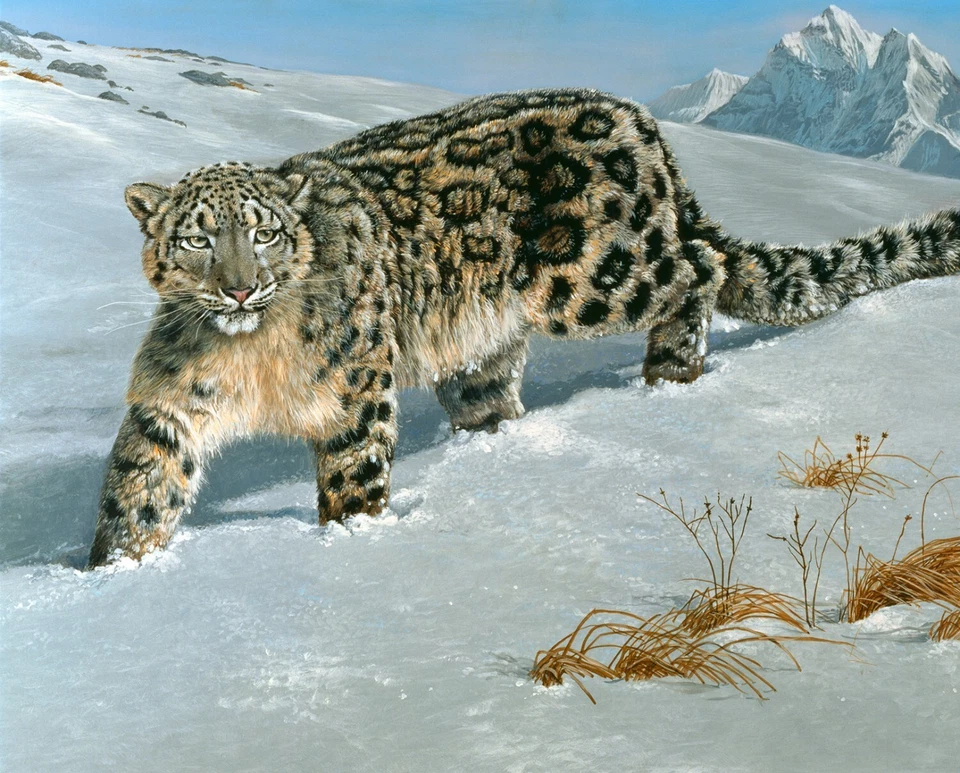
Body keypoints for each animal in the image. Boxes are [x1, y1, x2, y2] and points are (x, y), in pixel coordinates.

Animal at [89, 87, 960, 567]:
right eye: (196, 238)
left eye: (264, 232)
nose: (239, 289)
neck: (249, 356)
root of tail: (644, 124)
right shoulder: (169, 402)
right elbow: (140, 486)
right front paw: (111, 569)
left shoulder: (354, 398)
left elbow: (351, 482)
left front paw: (351, 542)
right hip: (479, 351)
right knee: (494, 396)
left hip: (600, 275)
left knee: (699, 271)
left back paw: (671, 372)